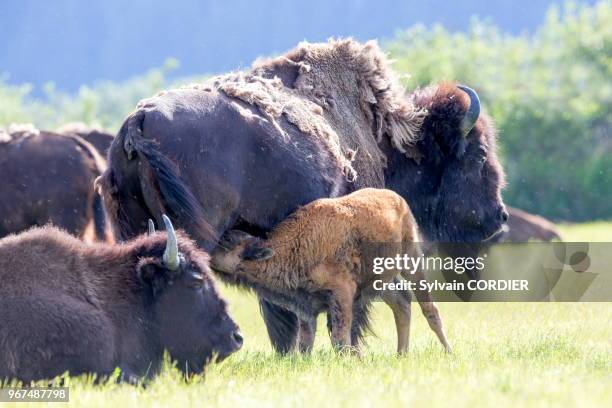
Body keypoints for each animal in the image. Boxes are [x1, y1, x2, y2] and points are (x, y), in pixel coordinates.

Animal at [213, 188, 452, 354]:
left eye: (226, 241)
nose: (207, 250)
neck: (296, 245)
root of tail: (397, 199)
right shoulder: (306, 310)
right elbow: (305, 344)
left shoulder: (342, 293)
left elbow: (340, 338)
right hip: (380, 280)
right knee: (402, 302)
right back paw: (401, 354)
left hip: (412, 260)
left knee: (429, 308)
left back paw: (448, 352)